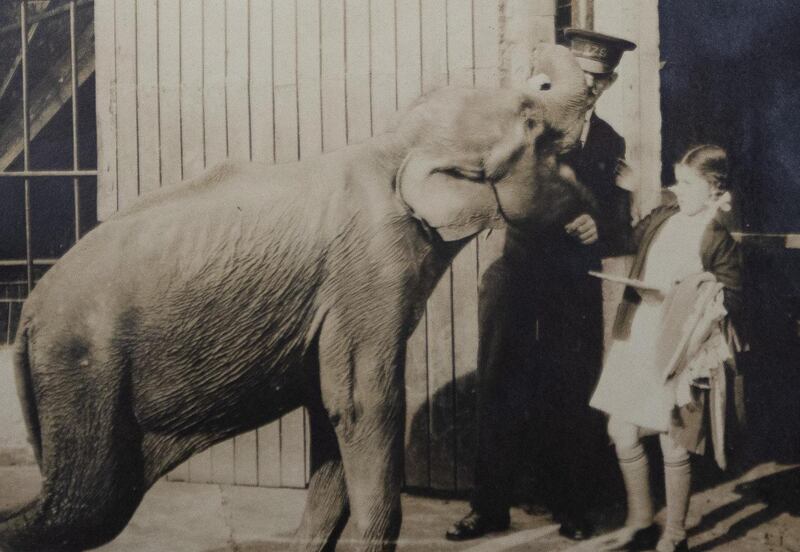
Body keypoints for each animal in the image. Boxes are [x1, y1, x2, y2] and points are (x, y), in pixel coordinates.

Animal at [0, 44, 590, 552]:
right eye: (536, 131)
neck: (395, 144)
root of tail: (27, 314)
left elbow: (330, 412)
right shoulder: (368, 272)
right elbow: (363, 403)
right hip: (84, 371)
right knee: (88, 507)